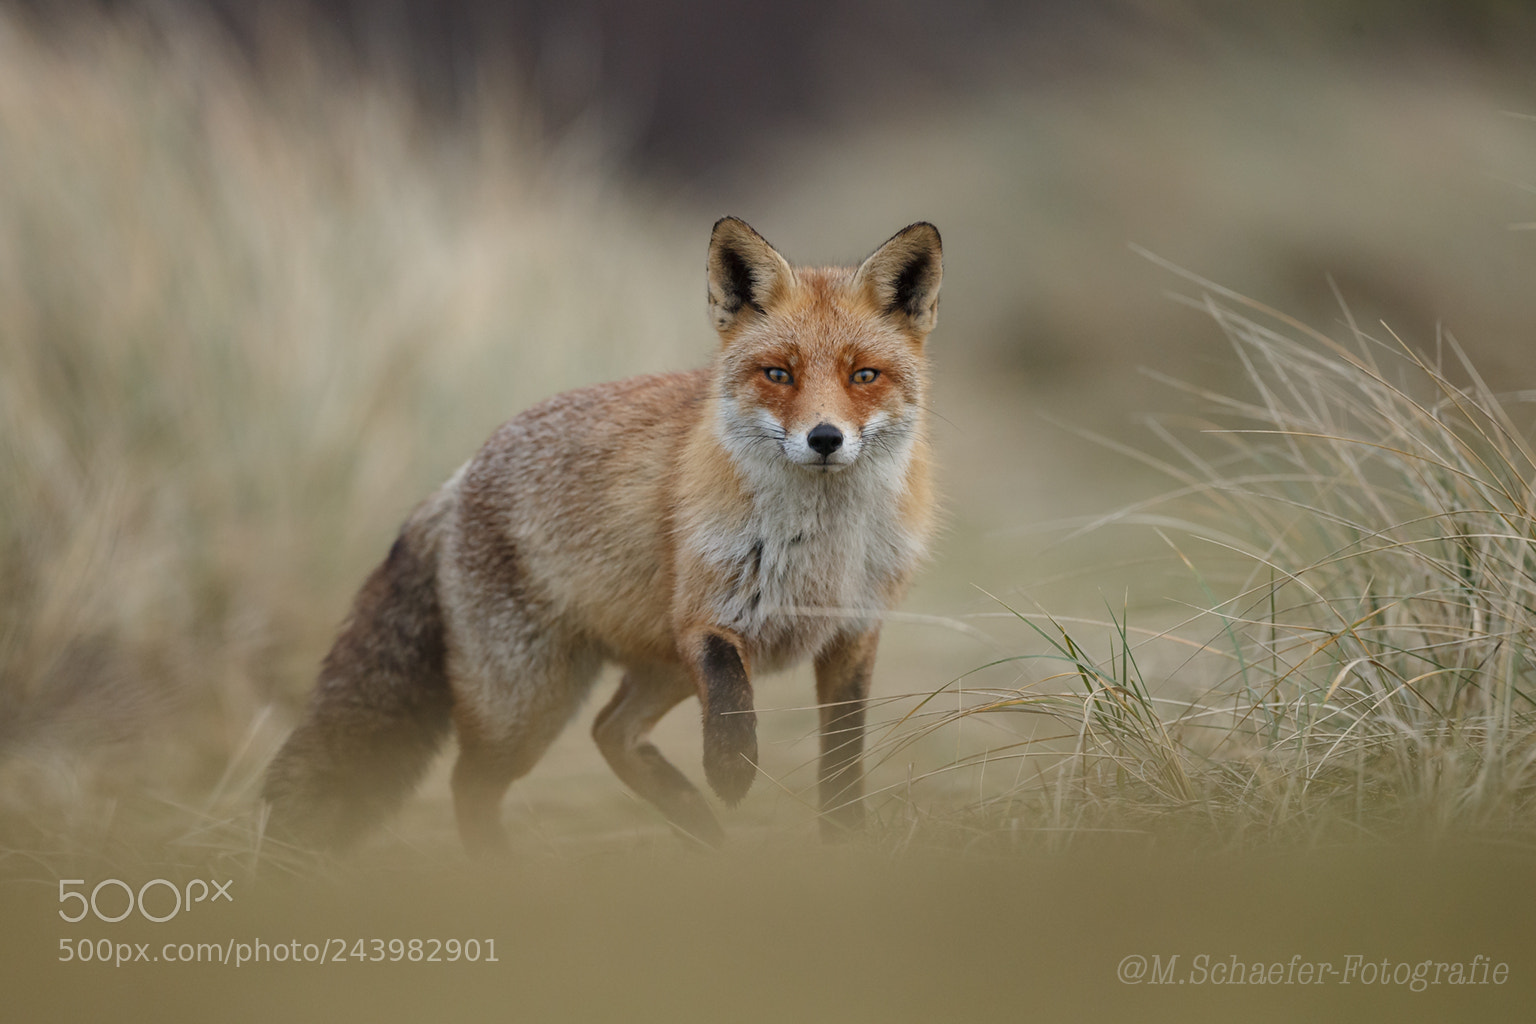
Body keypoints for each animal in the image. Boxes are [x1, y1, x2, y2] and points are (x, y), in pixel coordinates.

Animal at [261, 217, 942, 853]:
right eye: (778, 374)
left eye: (864, 376)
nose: (824, 438)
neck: (823, 549)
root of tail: (460, 475)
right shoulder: (704, 616)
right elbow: (730, 698)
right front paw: (731, 769)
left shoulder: (854, 630)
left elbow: (843, 765)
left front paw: (844, 842)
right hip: (527, 702)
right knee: (473, 781)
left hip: (647, 673)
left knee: (610, 733)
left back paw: (700, 831)